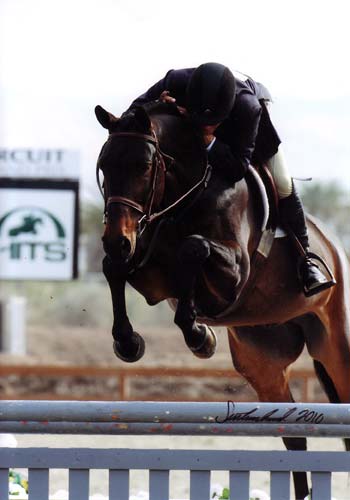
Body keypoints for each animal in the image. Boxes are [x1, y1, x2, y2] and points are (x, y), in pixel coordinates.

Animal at [94, 99, 350, 498]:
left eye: (144, 166)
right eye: (105, 164)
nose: (115, 239)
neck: (187, 196)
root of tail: (336, 246)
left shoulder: (233, 276)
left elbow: (194, 248)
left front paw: (199, 336)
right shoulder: (153, 278)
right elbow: (115, 268)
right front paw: (128, 341)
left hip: (338, 345)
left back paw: (312, 273)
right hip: (262, 362)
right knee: (293, 434)